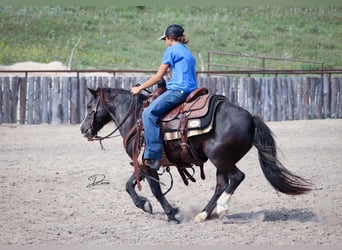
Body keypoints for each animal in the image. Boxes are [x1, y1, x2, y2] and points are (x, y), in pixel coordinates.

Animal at [81, 87, 312, 222]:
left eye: (90, 106)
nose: (83, 129)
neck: (136, 117)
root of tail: (251, 117)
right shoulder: (143, 163)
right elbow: (130, 185)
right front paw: (144, 205)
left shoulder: (147, 162)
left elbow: (155, 190)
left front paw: (171, 213)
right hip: (222, 160)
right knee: (221, 184)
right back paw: (203, 214)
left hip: (220, 158)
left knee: (236, 177)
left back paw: (221, 208)